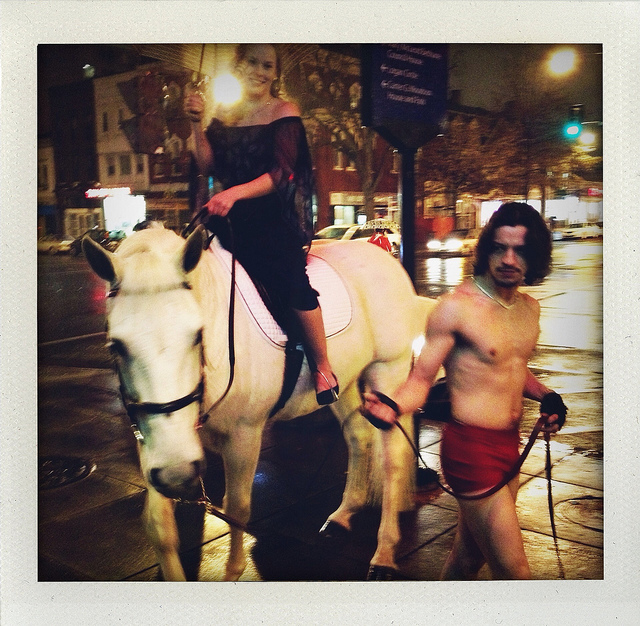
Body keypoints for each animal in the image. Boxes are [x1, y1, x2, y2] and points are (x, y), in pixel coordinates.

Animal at [82, 224, 436, 581]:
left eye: (197, 335)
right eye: (115, 346)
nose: (178, 475)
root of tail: (382, 254)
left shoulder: (243, 436)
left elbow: (237, 508)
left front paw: (233, 570)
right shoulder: (158, 446)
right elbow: (158, 526)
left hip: (387, 373)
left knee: (392, 461)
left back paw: (384, 553)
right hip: (343, 382)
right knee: (358, 437)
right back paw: (343, 515)